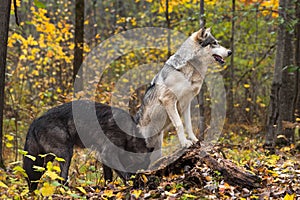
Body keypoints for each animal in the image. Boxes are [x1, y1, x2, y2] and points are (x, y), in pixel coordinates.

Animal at [22, 100, 152, 191]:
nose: (143, 182)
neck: (129, 134)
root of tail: (34, 122)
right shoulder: (108, 155)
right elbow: (126, 175)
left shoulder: (103, 156)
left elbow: (108, 177)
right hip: (66, 154)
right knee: (62, 178)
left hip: (42, 162)